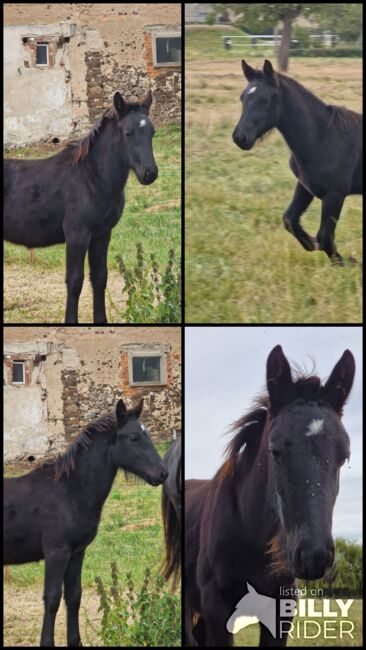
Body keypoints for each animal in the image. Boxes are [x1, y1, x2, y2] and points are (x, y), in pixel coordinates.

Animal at [2, 394, 168, 644]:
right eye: (133, 437)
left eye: (147, 434)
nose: (163, 473)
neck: (69, 491)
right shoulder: (56, 552)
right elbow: (52, 598)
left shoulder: (77, 552)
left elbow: (74, 596)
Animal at [3, 90, 157, 322]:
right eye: (128, 133)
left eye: (152, 132)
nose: (150, 173)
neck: (92, 177)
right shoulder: (77, 235)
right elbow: (75, 281)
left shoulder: (102, 235)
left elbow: (100, 277)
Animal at [233, 59, 362, 262]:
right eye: (242, 97)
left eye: (265, 99)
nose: (240, 137)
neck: (322, 138)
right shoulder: (305, 186)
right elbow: (290, 220)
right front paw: (310, 242)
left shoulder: (335, 194)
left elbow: (325, 237)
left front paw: (351, 263)